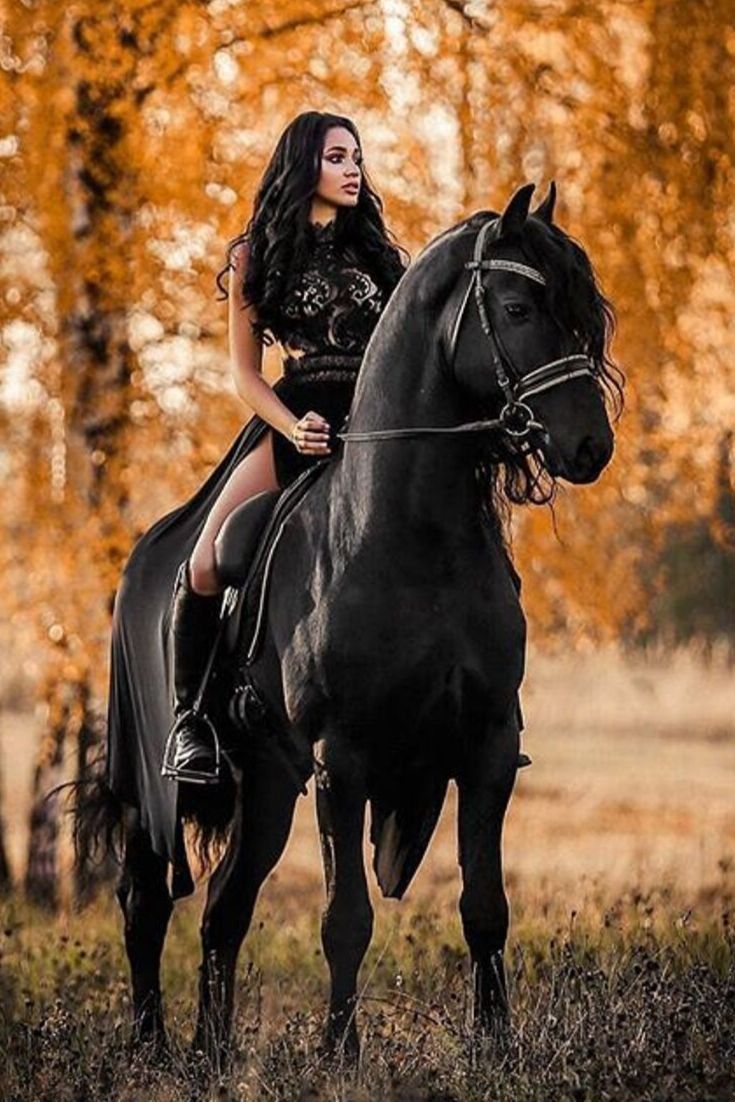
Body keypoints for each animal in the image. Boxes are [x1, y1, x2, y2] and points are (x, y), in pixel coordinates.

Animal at [90, 180, 621, 1066]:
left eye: (584, 315)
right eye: (516, 308)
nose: (589, 446)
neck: (412, 536)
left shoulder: (487, 747)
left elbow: (485, 907)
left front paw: (495, 1047)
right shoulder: (343, 758)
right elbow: (346, 920)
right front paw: (339, 1054)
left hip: (268, 780)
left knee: (223, 909)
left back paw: (211, 1052)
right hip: (153, 786)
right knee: (145, 901)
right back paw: (150, 1047)